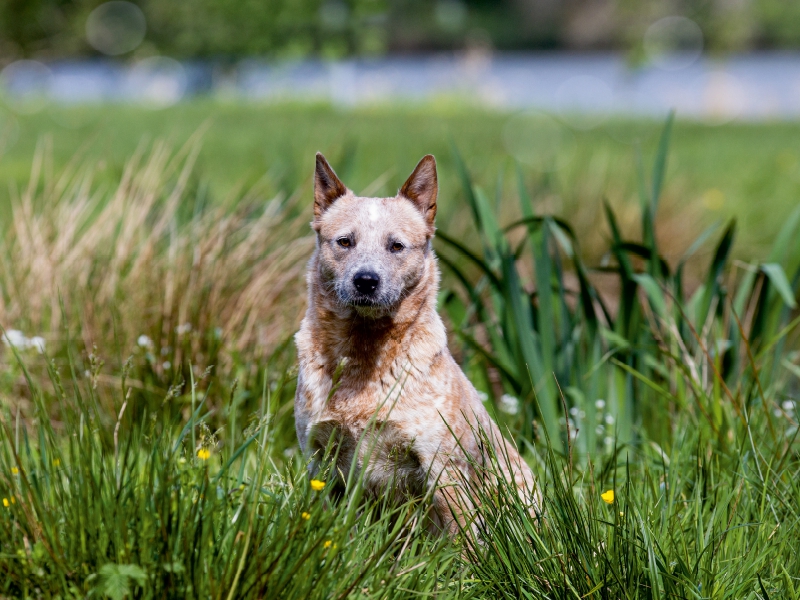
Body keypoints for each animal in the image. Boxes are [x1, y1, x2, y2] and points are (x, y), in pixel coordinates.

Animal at [294, 152, 536, 532]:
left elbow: (463, 538)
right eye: (345, 241)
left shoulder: (442, 466)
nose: (366, 280)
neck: (366, 355)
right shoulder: (320, 461)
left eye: (396, 246)